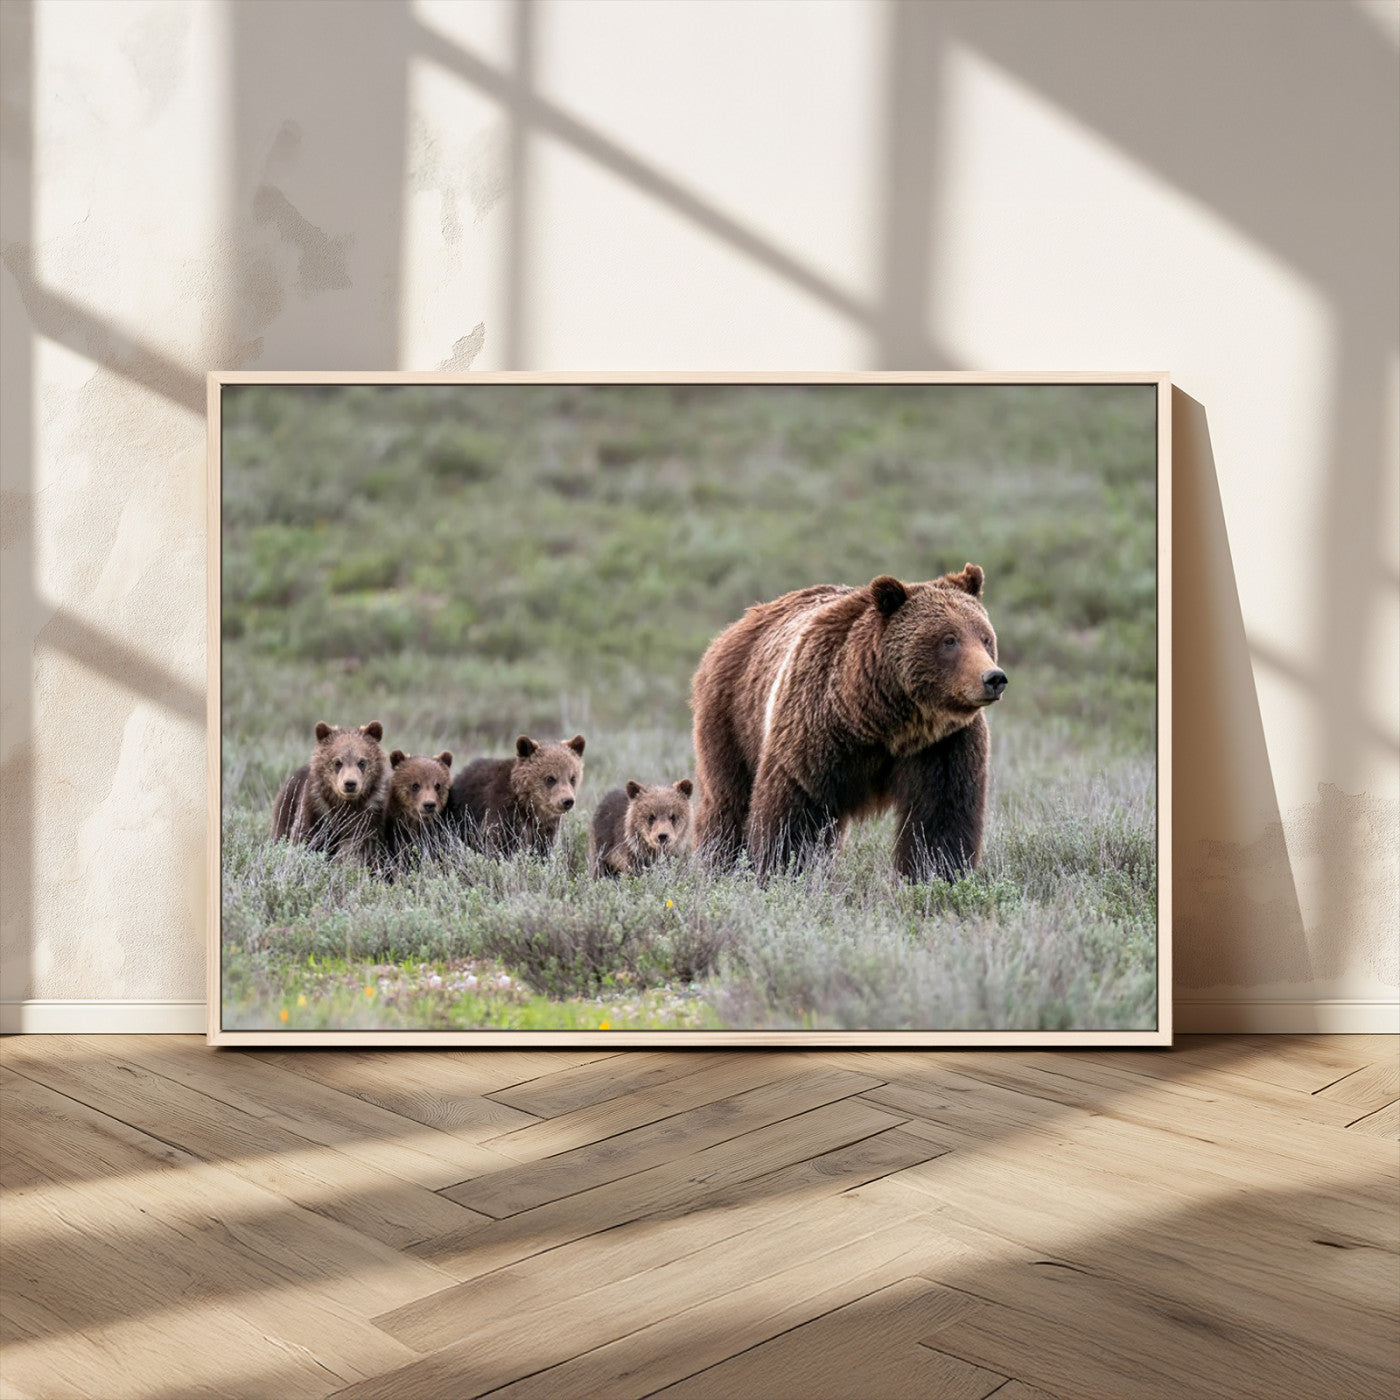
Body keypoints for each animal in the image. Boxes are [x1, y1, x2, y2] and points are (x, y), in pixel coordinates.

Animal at [271, 721, 391, 864]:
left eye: (362, 762)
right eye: (337, 762)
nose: (350, 783)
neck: (345, 803)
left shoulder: (369, 815)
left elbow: (362, 847)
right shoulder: (316, 809)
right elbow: (304, 837)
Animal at [449, 734, 586, 857]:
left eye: (573, 778)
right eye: (550, 778)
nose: (567, 801)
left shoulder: (544, 827)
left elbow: (542, 848)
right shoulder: (503, 813)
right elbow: (501, 845)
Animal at [689, 564, 1006, 881]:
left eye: (985, 637)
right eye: (949, 640)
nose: (993, 678)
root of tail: (738, 625)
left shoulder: (942, 744)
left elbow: (941, 817)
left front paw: (935, 874)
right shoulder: (816, 730)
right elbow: (794, 811)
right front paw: (782, 870)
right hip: (733, 716)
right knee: (727, 802)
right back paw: (719, 863)